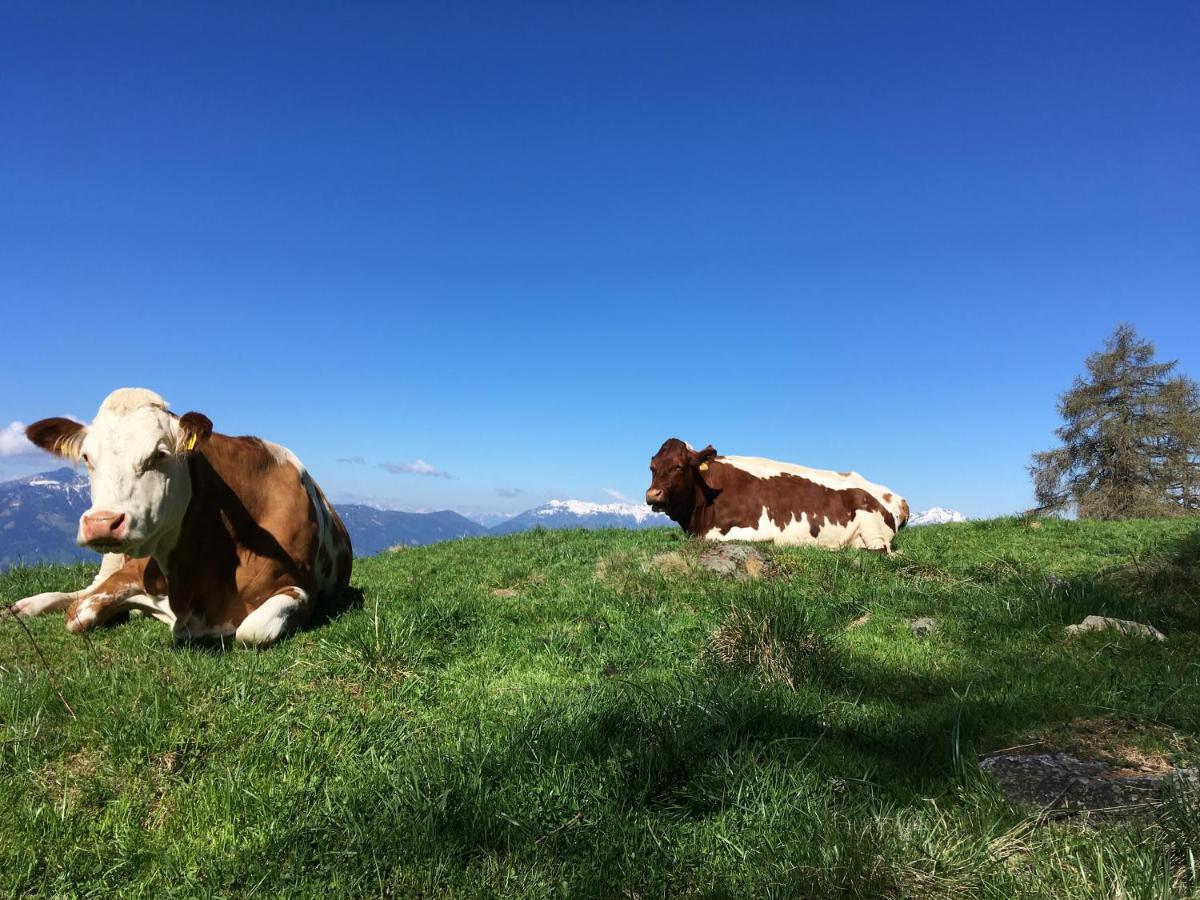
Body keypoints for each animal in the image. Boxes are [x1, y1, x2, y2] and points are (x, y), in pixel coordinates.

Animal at [10, 388, 350, 648]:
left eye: (160, 454)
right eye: (86, 457)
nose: (102, 523)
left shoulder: (300, 589)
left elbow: (250, 631)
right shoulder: (130, 576)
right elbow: (79, 613)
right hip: (114, 560)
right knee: (85, 589)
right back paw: (27, 605)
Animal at [648, 441, 907, 554]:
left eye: (679, 466)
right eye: (652, 467)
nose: (652, 494)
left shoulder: (755, 529)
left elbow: (709, 538)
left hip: (868, 518)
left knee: (880, 550)